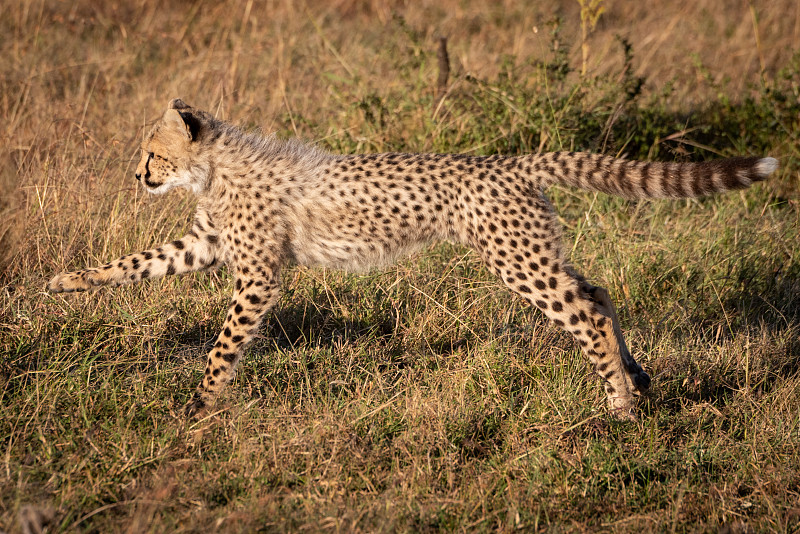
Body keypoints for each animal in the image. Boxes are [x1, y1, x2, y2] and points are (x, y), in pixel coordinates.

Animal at [47, 100, 780, 418]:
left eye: (153, 152)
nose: (137, 175)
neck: (213, 167)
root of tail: (511, 162)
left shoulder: (256, 274)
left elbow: (224, 344)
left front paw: (198, 406)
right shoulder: (206, 245)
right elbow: (138, 262)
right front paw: (68, 280)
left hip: (518, 262)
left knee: (588, 313)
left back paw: (620, 404)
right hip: (534, 253)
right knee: (596, 291)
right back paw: (637, 377)